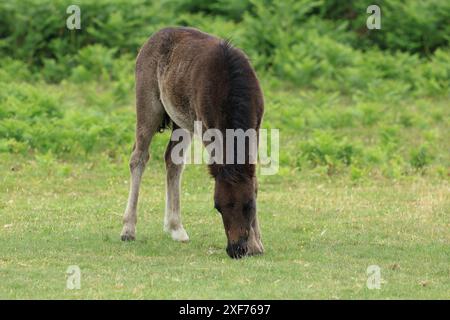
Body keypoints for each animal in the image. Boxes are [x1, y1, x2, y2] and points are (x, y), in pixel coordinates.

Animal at [121, 26, 266, 258]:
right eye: (218, 207)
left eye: (249, 206)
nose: (235, 249)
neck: (230, 84)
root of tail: (153, 37)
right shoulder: (207, 128)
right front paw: (253, 243)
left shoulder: (256, 127)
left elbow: (254, 182)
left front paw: (256, 243)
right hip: (148, 106)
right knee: (139, 157)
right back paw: (128, 229)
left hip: (182, 121)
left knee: (172, 160)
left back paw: (175, 228)